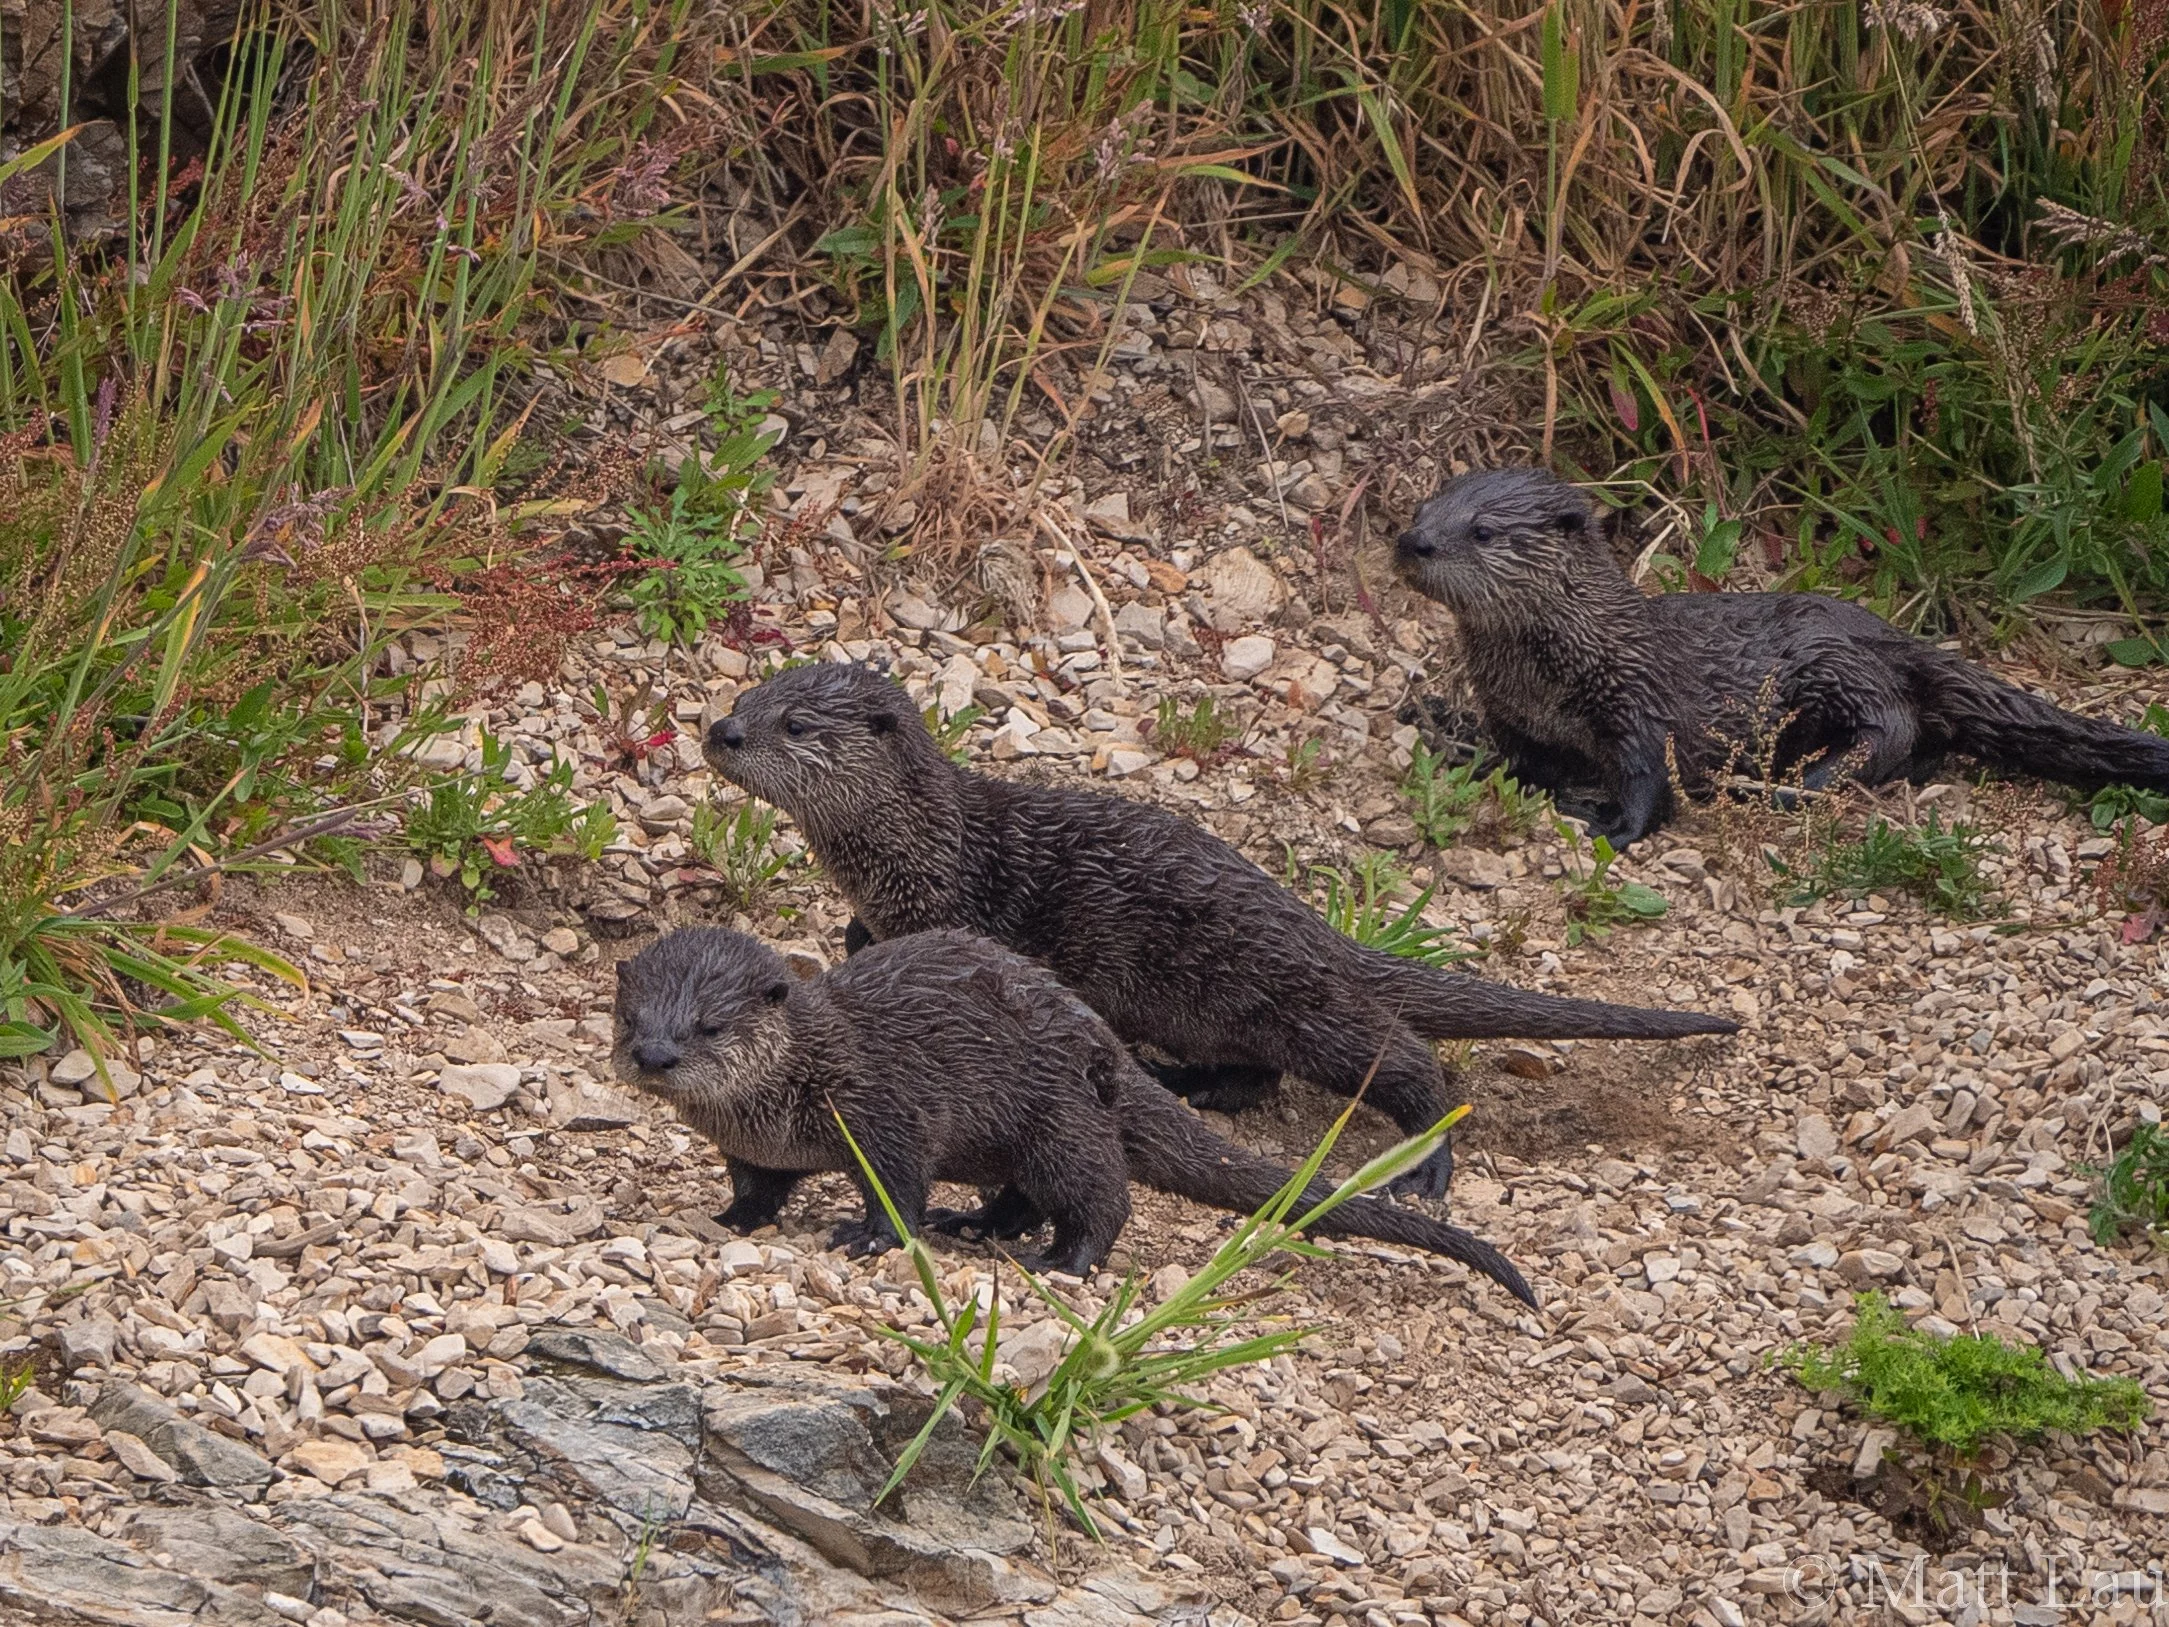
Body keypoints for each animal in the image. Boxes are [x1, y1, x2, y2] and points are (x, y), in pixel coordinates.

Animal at [611, 927, 1536, 1303]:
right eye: (632, 1015)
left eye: (709, 1025)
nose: (654, 1055)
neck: (798, 1086)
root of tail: (1114, 1055)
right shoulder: (754, 1149)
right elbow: (757, 1190)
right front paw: (729, 1217)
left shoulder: (884, 1111)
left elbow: (896, 1187)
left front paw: (870, 1237)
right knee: (1023, 1194)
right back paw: (978, 1225)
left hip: (1058, 1117)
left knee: (1101, 1198)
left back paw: (1064, 1260)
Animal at [701, 663, 1737, 1200]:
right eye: (745, 698)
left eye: (795, 723)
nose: (721, 732)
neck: (928, 853)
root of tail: (1318, 930)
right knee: (1254, 1074)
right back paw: (1186, 1081)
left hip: (1286, 992)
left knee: (1397, 1057)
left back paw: (1424, 1158)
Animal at [1395, 467, 2169, 846]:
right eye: (1422, 508)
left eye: (1483, 530)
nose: (1412, 541)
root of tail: (1894, 635)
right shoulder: (1513, 713)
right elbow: (1518, 760)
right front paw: (1465, 746)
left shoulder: (1635, 704)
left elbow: (1649, 778)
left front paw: (1613, 826)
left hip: (1830, 662)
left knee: (1890, 726)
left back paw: (1796, 784)